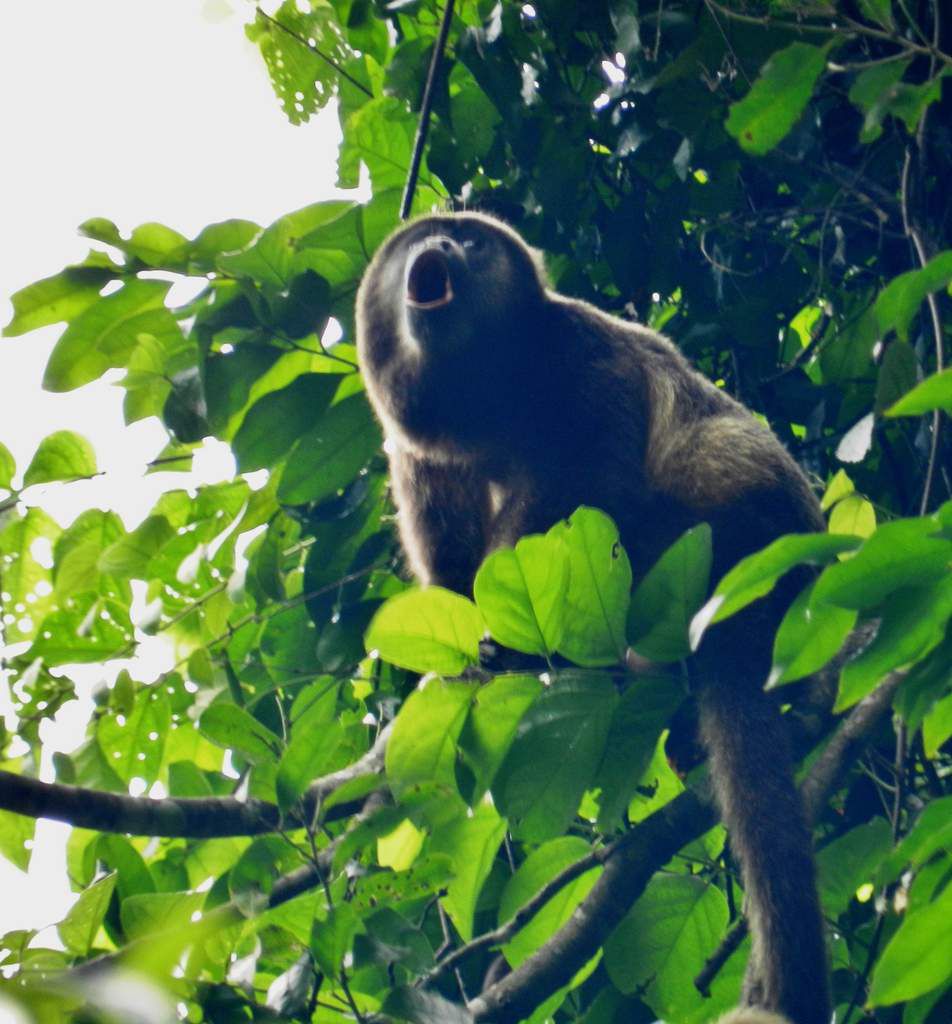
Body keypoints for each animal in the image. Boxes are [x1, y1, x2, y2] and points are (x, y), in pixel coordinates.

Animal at [356, 209, 831, 1024]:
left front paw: (505, 646)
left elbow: (592, 482)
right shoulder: (408, 449)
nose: (440, 247)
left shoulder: (584, 356)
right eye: (428, 239)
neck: (483, 394)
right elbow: (449, 571)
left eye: (471, 240)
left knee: (698, 461)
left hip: (745, 531)